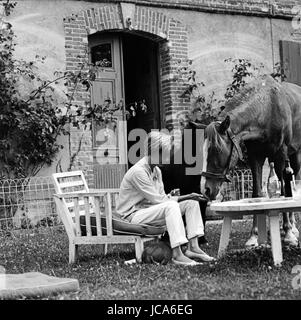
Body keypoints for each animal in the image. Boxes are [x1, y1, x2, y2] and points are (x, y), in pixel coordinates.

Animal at [192, 75, 300, 248]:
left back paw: (293, 227)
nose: (205, 189)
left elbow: (284, 191)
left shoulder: (281, 155)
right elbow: (257, 194)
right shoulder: (255, 157)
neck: (266, 108)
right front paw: (254, 236)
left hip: (295, 156)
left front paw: (289, 232)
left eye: (216, 150)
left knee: (293, 180)